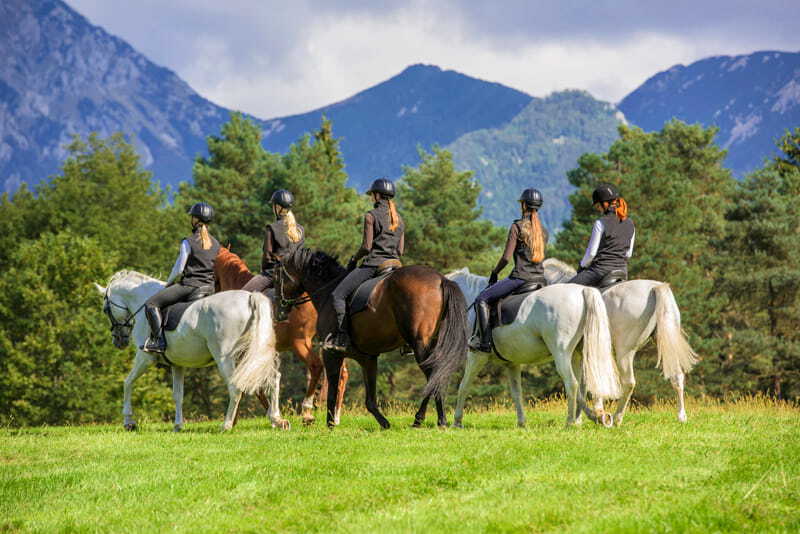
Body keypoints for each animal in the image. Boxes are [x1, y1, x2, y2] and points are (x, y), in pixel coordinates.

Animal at [95, 272, 288, 432]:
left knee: (235, 387)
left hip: (225, 358)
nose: (119, 341)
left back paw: (226, 425)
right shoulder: (177, 364)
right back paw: (277, 420)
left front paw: (129, 422)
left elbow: (127, 382)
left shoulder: (145, 356)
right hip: (253, 354)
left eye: (105, 310)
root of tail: (249, 297)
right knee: (274, 379)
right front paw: (178, 426)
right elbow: (178, 395)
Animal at [214, 249, 348, 430]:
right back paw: (335, 416)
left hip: (300, 343)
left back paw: (307, 411)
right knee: (341, 373)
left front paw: (272, 417)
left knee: (316, 366)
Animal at [276, 248, 468, 432]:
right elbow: (370, 399)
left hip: (420, 344)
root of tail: (440, 280)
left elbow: (331, 392)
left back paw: (427, 419)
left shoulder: (331, 354)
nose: (281, 310)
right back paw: (430, 420)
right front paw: (384, 423)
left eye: (279, 276)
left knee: (433, 376)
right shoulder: (367, 358)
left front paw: (329, 425)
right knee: (436, 375)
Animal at [446, 270, 620, 430]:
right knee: (583, 386)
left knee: (572, 384)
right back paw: (584, 419)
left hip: (562, 354)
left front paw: (457, 422)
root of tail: (583, 290)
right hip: (578, 355)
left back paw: (570, 422)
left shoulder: (476, 356)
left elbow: (463, 386)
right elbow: (517, 393)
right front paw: (521, 423)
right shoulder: (512, 363)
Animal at [544, 260, 700, 428]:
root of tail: (655, 287)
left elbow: (585, 384)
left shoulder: (578, 355)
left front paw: (589, 416)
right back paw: (681, 417)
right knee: (677, 377)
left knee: (628, 382)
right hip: (667, 343)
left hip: (624, 352)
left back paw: (617, 418)